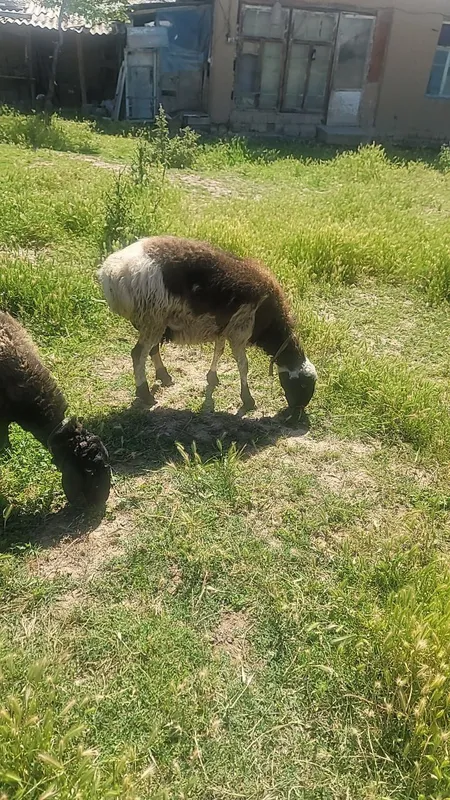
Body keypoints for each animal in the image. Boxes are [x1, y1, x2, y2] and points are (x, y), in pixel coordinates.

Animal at [97, 236, 317, 417]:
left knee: (152, 349)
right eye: (303, 385)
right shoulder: (240, 331)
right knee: (138, 354)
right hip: (153, 316)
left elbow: (218, 351)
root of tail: (110, 272)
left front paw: (213, 377)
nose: (297, 412)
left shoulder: (224, 328)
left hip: (156, 319)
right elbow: (243, 366)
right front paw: (248, 400)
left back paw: (164, 376)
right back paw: (145, 394)